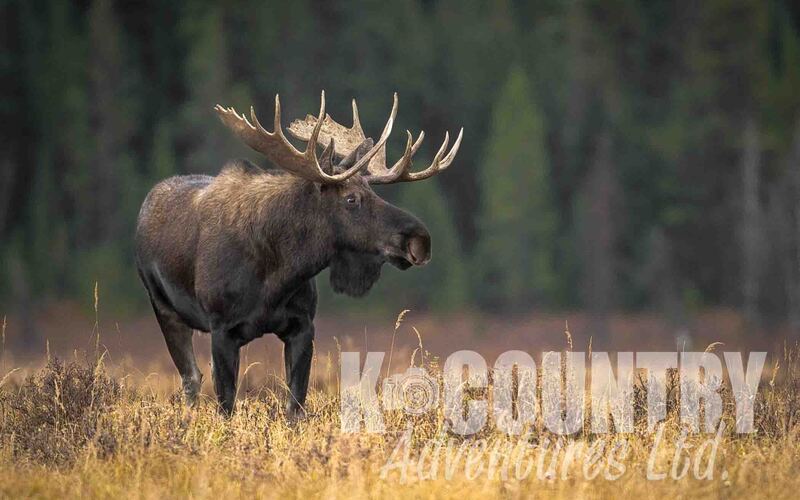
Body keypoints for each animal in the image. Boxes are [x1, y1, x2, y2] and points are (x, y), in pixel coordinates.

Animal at [135, 91, 462, 416]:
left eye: (374, 191)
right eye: (351, 199)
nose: (420, 239)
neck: (278, 276)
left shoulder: (302, 326)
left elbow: (296, 405)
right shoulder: (222, 329)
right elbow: (226, 405)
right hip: (164, 309)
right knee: (191, 378)